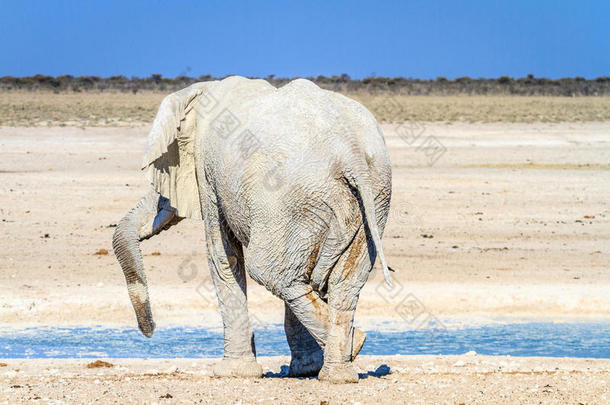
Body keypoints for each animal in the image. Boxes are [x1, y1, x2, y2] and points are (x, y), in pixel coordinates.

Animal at [111, 76, 392, 382]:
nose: (150, 330)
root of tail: (350, 153)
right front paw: (305, 369)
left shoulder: (207, 172)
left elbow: (222, 257)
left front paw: (232, 372)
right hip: (369, 199)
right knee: (340, 282)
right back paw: (341, 369)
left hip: (289, 200)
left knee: (274, 272)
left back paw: (354, 345)